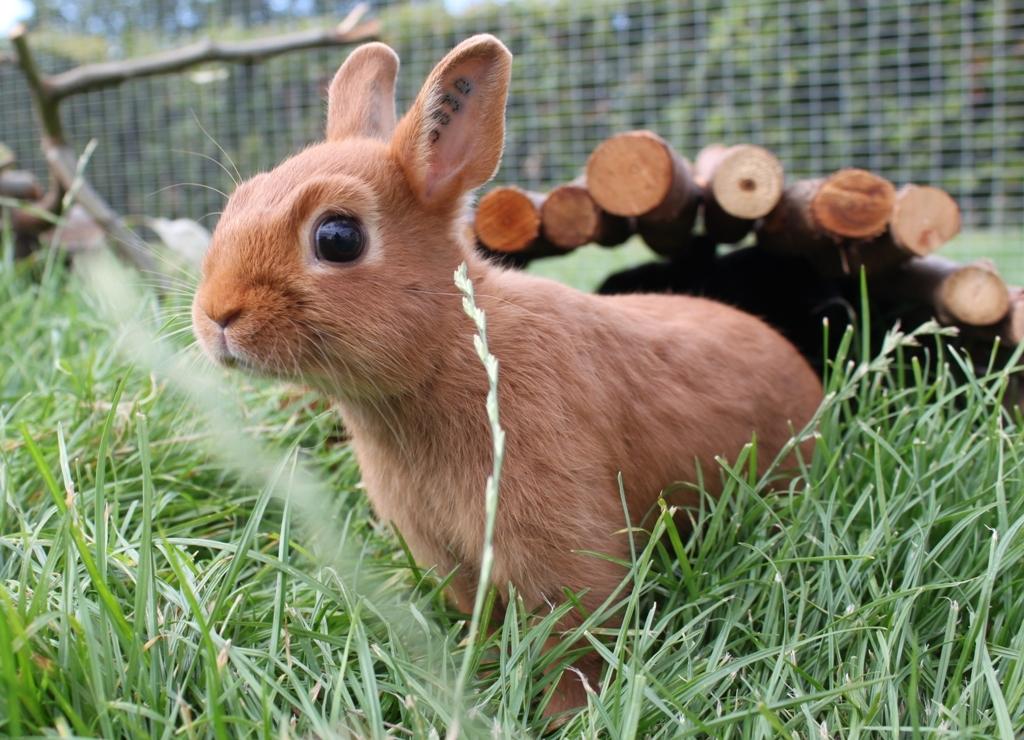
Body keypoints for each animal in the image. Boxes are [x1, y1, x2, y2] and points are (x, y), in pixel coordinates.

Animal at [193, 34, 823, 716]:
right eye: (236, 203)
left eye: (339, 237)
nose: (217, 315)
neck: (448, 348)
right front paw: (486, 675)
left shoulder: (558, 538)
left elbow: (578, 629)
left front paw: (566, 713)